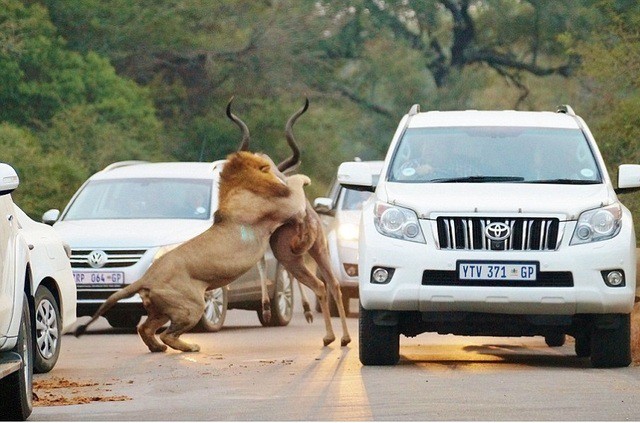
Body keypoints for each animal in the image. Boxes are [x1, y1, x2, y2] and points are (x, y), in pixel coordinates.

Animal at [74, 151, 310, 352]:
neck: (237, 187)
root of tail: (147, 278)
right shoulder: (289, 205)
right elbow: (296, 185)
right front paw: (304, 178)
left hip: (162, 309)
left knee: (145, 328)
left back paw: (157, 348)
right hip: (192, 305)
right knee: (167, 334)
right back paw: (189, 347)